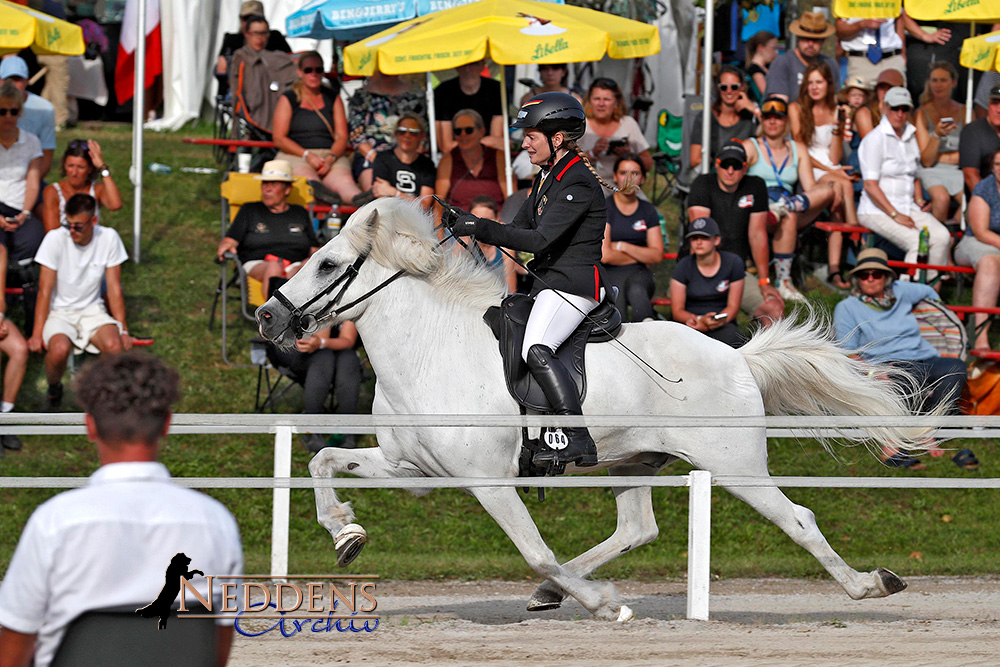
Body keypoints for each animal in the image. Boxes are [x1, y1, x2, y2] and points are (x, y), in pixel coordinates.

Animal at [256, 197, 928, 620]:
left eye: (327, 263)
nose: (266, 317)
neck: (429, 348)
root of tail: (736, 357)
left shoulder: (489, 482)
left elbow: (533, 548)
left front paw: (604, 604)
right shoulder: (413, 470)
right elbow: (321, 462)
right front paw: (346, 533)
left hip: (735, 465)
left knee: (799, 519)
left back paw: (871, 585)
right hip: (634, 459)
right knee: (636, 529)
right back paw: (553, 593)